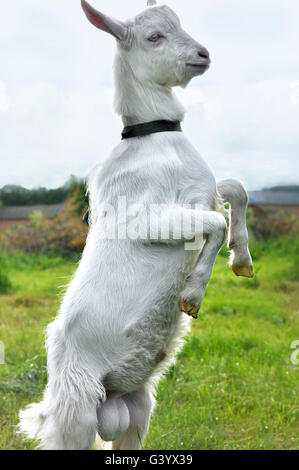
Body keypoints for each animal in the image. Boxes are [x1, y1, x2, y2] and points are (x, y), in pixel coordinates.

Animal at [18, 0, 253, 450]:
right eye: (154, 36)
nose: (203, 54)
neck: (154, 136)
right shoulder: (146, 218)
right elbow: (215, 222)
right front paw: (192, 295)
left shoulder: (203, 192)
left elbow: (235, 190)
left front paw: (242, 259)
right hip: (75, 413)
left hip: (137, 409)